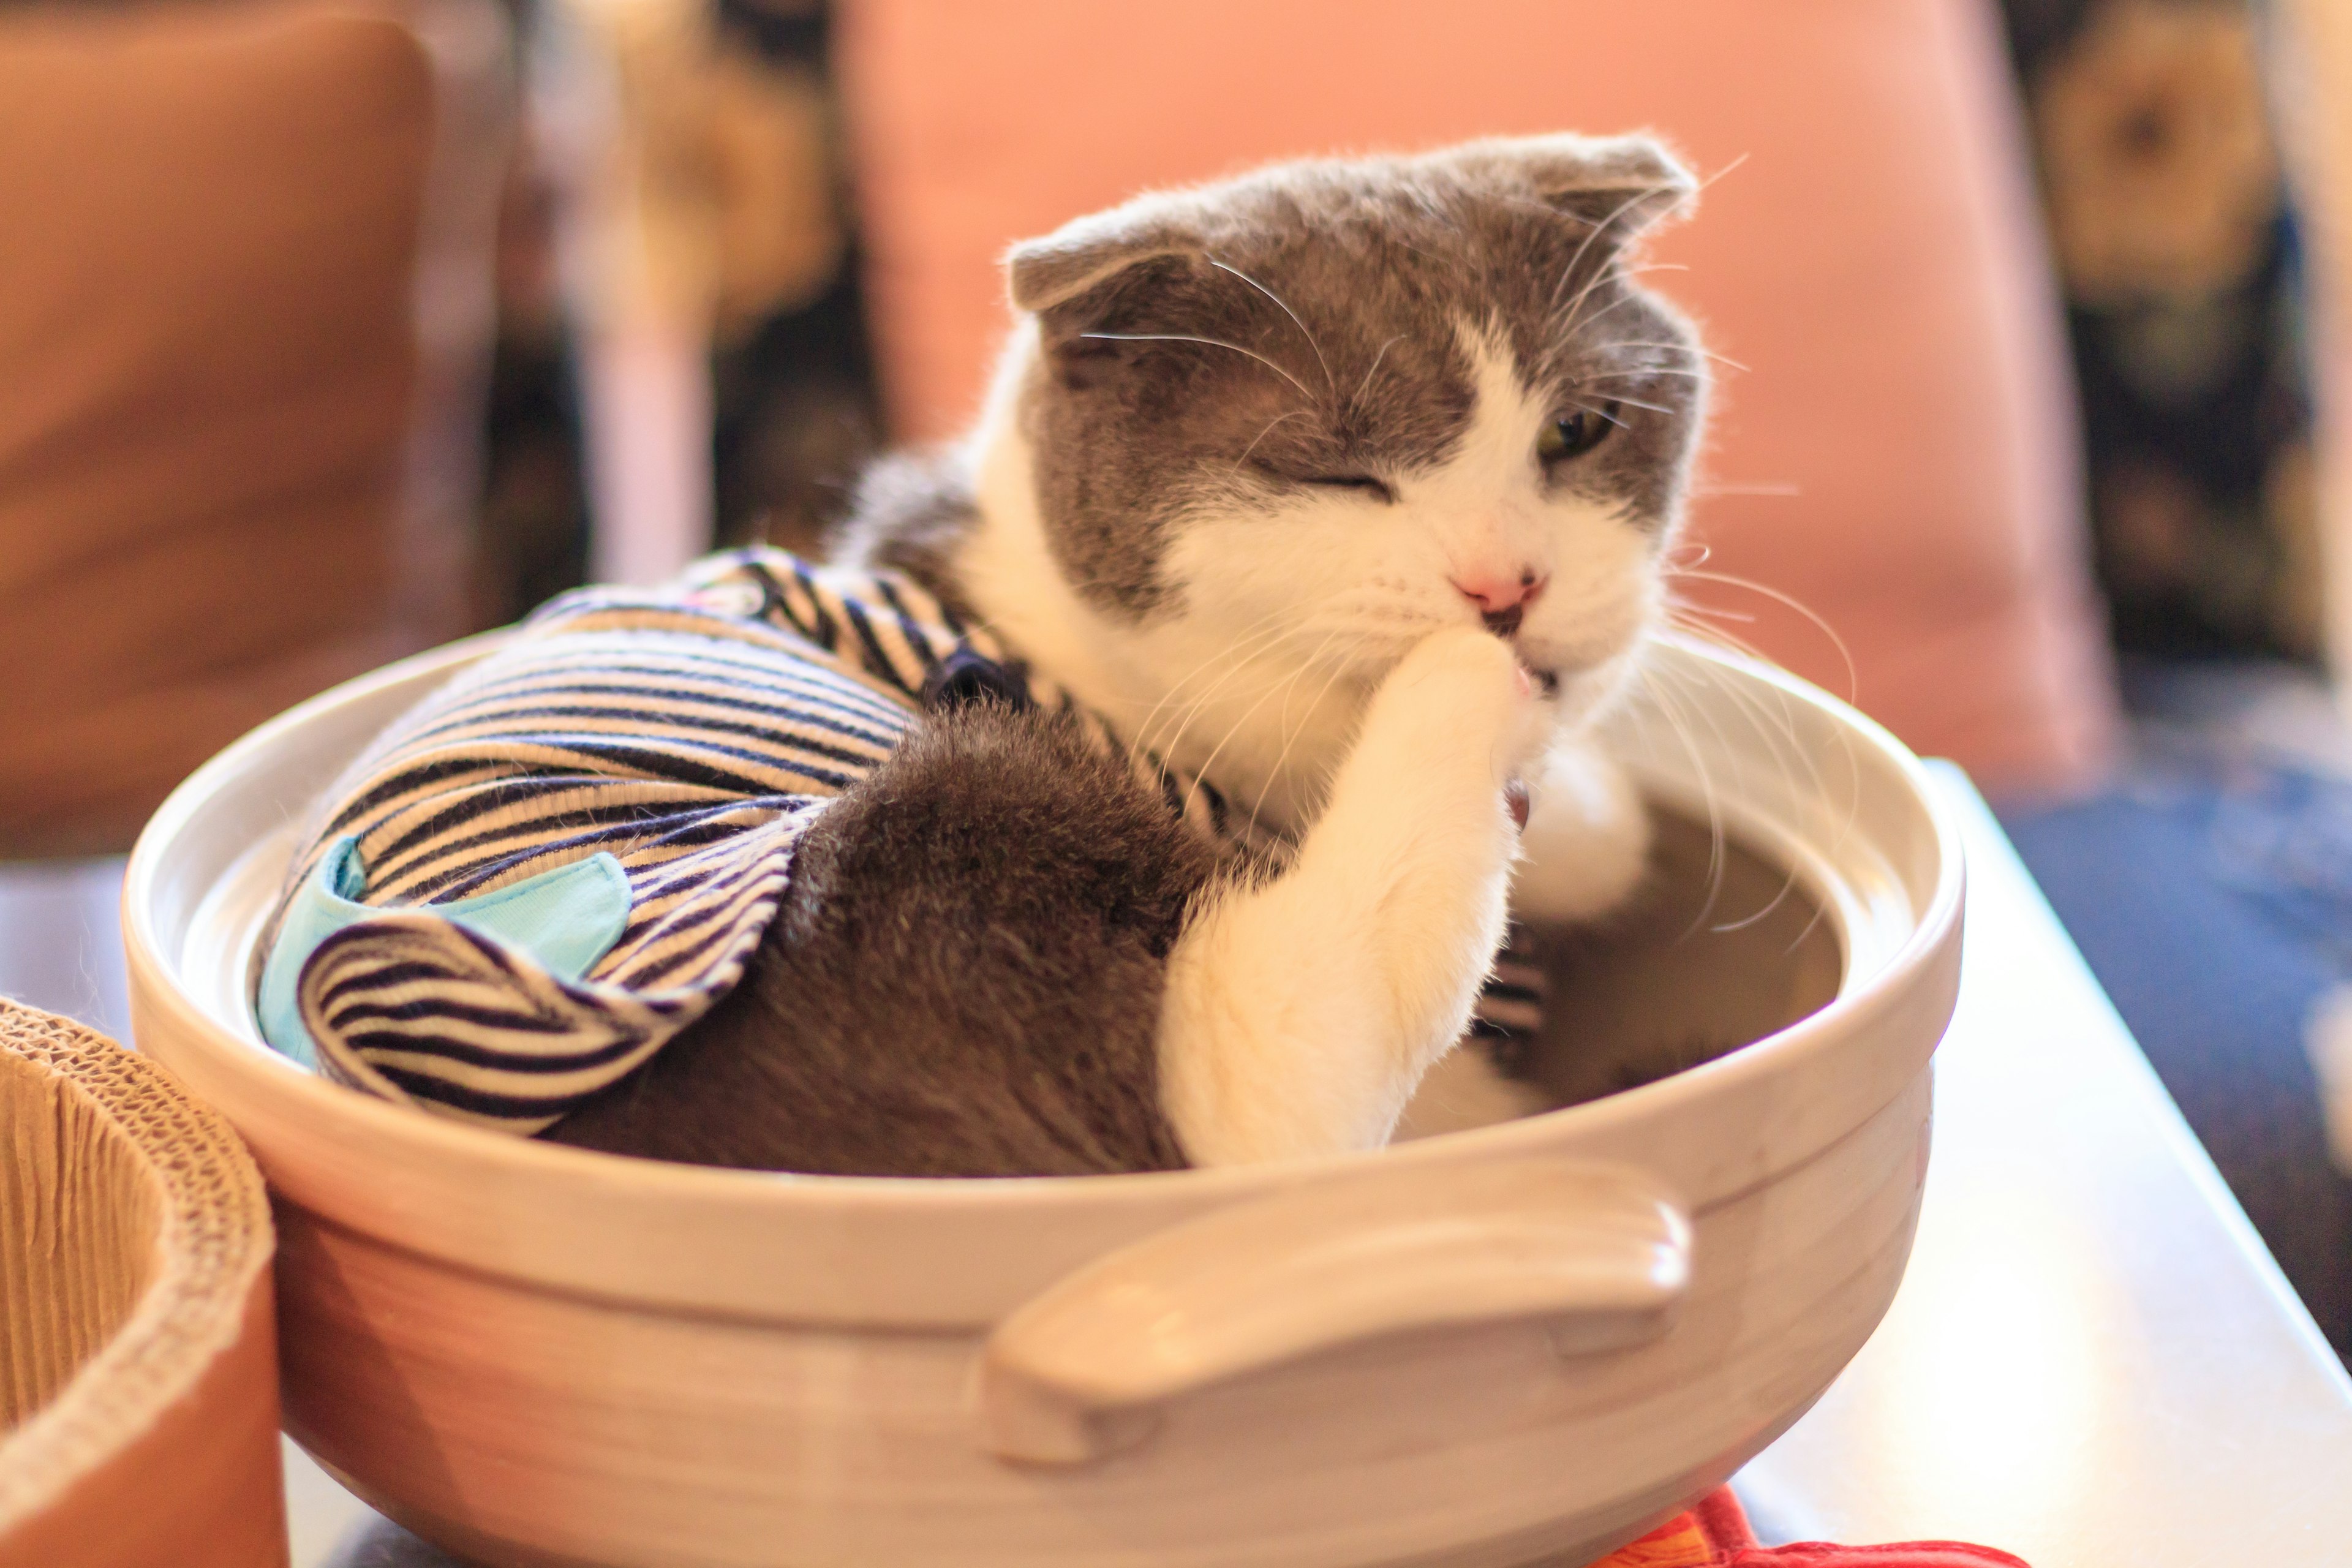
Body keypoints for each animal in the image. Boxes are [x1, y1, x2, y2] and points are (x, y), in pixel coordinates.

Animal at [536, 135, 1712, 1170]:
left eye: (1579, 430)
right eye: (1335, 475)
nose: (1507, 587)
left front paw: (1581, 796)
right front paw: (1504, 720)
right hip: (951, 819)